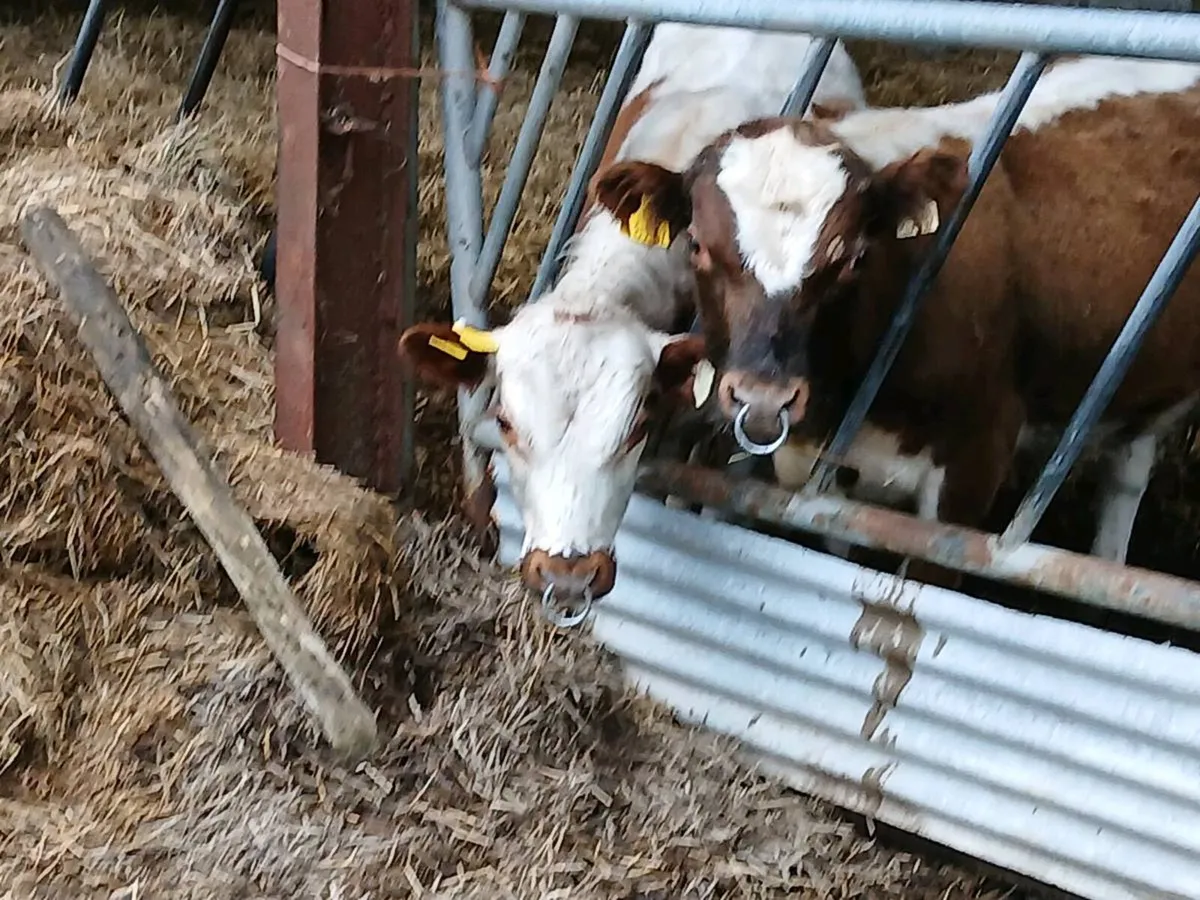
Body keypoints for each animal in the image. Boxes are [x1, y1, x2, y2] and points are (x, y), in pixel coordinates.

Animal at [590, 55, 1200, 579]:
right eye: (696, 245)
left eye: (855, 257)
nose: (764, 398)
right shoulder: (817, 468)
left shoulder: (975, 463)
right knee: (1128, 471)